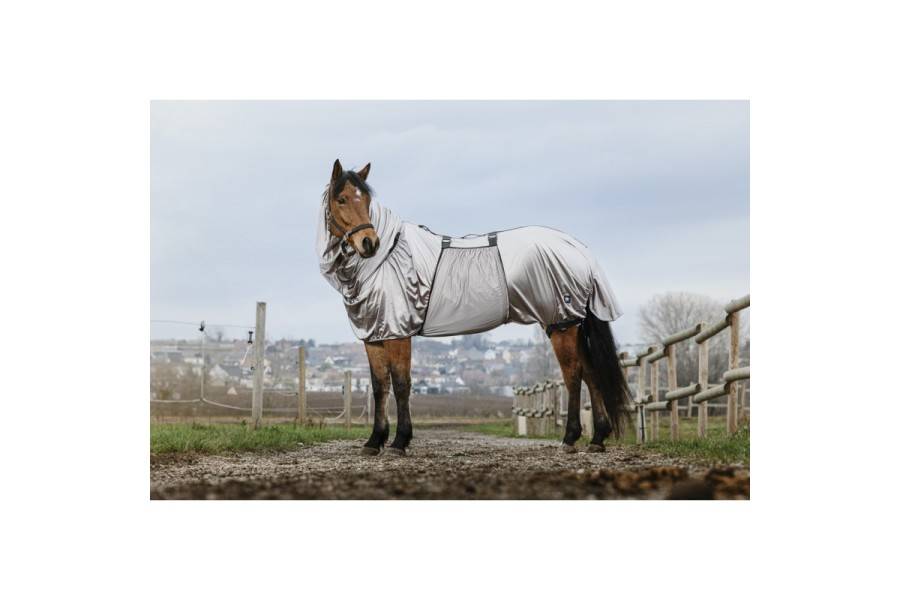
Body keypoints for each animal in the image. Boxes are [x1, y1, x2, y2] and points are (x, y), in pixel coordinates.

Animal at [317, 159, 631, 455]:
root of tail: (578, 250)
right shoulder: (375, 334)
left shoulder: (398, 332)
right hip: (568, 323)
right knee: (591, 374)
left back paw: (570, 438)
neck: (387, 259)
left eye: (367, 200)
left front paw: (399, 442)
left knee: (574, 375)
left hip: (562, 324)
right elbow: (379, 386)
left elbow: (402, 384)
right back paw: (597, 438)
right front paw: (374, 441)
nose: (369, 243)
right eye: (342, 199)